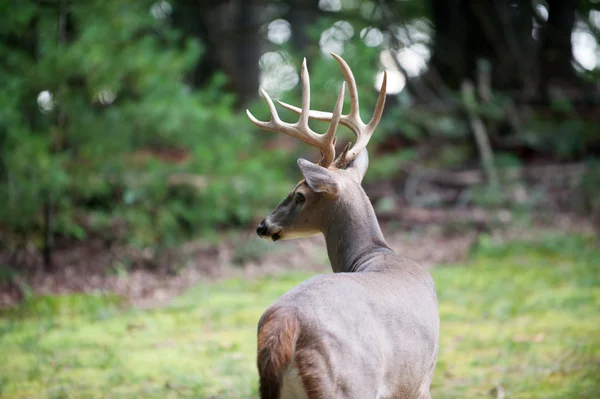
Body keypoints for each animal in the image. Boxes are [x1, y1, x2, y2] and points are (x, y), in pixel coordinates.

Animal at [246, 54, 438, 399]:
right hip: (348, 383)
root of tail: (286, 323)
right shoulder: (419, 380)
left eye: (299, 194)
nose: (262, 225)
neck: (377, 254)